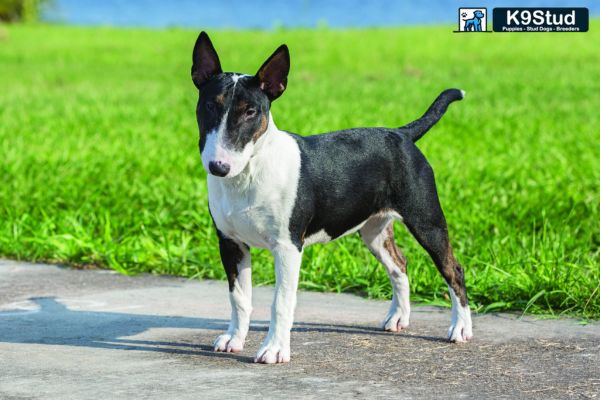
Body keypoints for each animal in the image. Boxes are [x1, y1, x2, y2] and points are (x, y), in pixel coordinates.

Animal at [190, 31, 472, 362]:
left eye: (251, 112)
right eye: (210, 105)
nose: (219, 167)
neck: (250, 172)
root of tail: (402, 134)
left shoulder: (288, 247)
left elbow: (280, 302)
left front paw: (274, 350)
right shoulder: (231, 244)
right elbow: (239, 298)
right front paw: (234, 339)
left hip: (427, 220)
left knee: (453, 270)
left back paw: (461, 329)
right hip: (374, 230)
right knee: (399, 265)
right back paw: (398, 318)